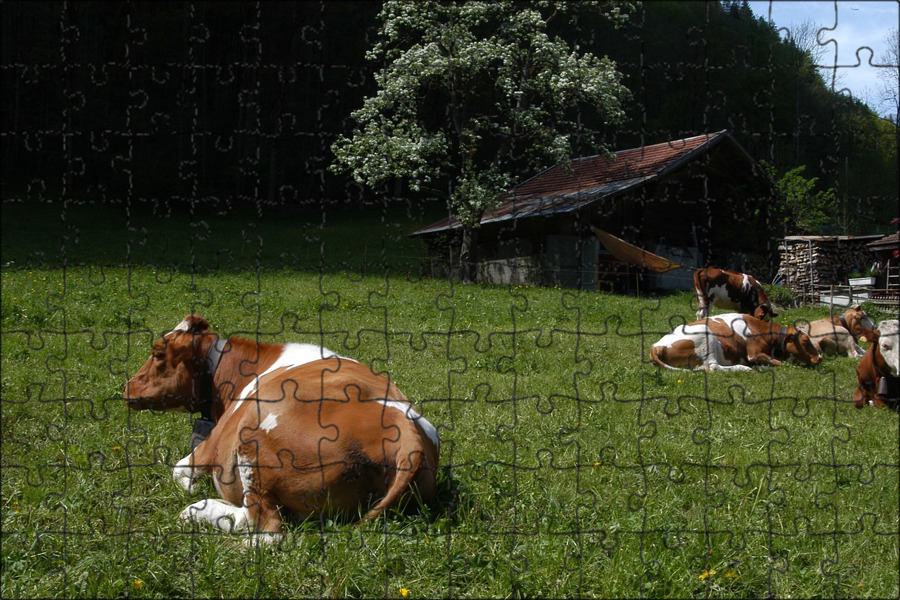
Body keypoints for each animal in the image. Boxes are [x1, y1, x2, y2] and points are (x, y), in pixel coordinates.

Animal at [122, 316, 440, 540]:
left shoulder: (210, 446)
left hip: (252, 444)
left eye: (157, 354)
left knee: (263, 527)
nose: (126, 387)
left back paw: (201, 510)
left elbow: (179, 471)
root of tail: (406, 433)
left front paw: (192, 490)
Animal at [652, 312, 820, 372]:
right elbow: (779, 363)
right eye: (805, 340)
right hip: (706, 337)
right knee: (712, 367)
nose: (820, 358)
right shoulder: (754, 353)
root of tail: (655, 346)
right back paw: (744, 368)